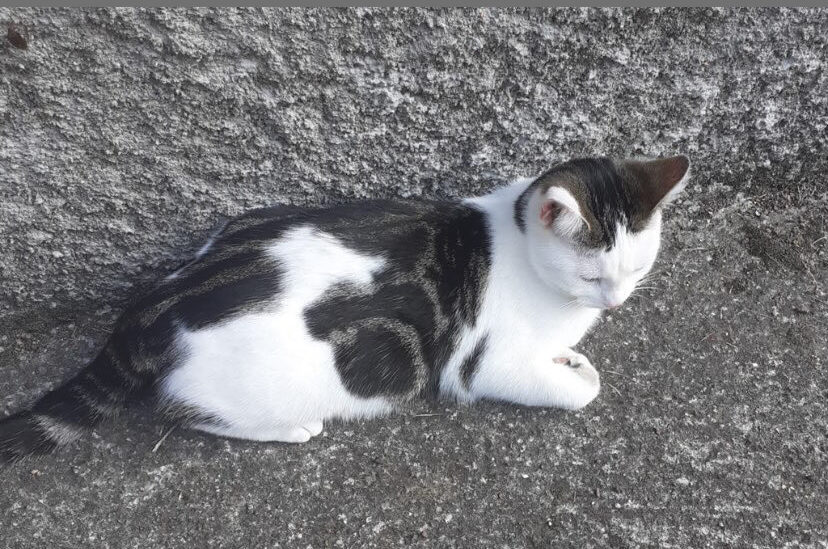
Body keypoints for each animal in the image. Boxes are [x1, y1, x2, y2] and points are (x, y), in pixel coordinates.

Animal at [0, 155, 690, 462]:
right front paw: (576, 374)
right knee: (183, 409)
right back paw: (286, 428)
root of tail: (159, 299)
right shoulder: (479, 365)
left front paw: (571, 356)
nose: (617, 301)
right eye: (592, 273)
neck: (517, 245)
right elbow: (582, 393)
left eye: (638, 268)